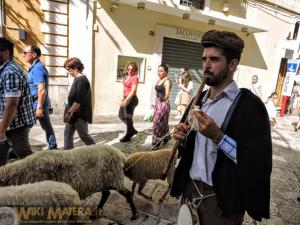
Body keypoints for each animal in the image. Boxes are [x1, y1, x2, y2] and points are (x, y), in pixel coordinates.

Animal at [0, 144, 137, 220]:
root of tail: (121, 155)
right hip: (105, 180)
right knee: (106, 194)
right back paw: (95, 213)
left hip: (115, 179)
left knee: (127, 194)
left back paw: (134, 215)